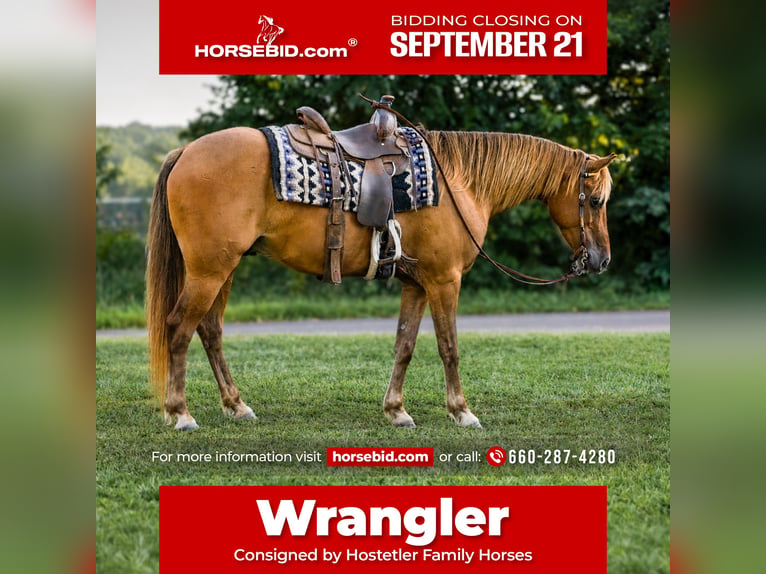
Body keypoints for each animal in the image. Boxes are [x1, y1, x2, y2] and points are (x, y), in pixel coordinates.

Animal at [146, 126, 616, 430]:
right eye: (595, 200)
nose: (601, 260)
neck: (459, 183)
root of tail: (185, 152)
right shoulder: (444, 281)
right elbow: (449, 347)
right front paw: (461, 411)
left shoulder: (416, 283)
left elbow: (404, 346)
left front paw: (396, 411)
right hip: (209, 270)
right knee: (179, 328)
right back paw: (180, 413)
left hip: (223, 269)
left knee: (210, 331)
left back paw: (236, 405)